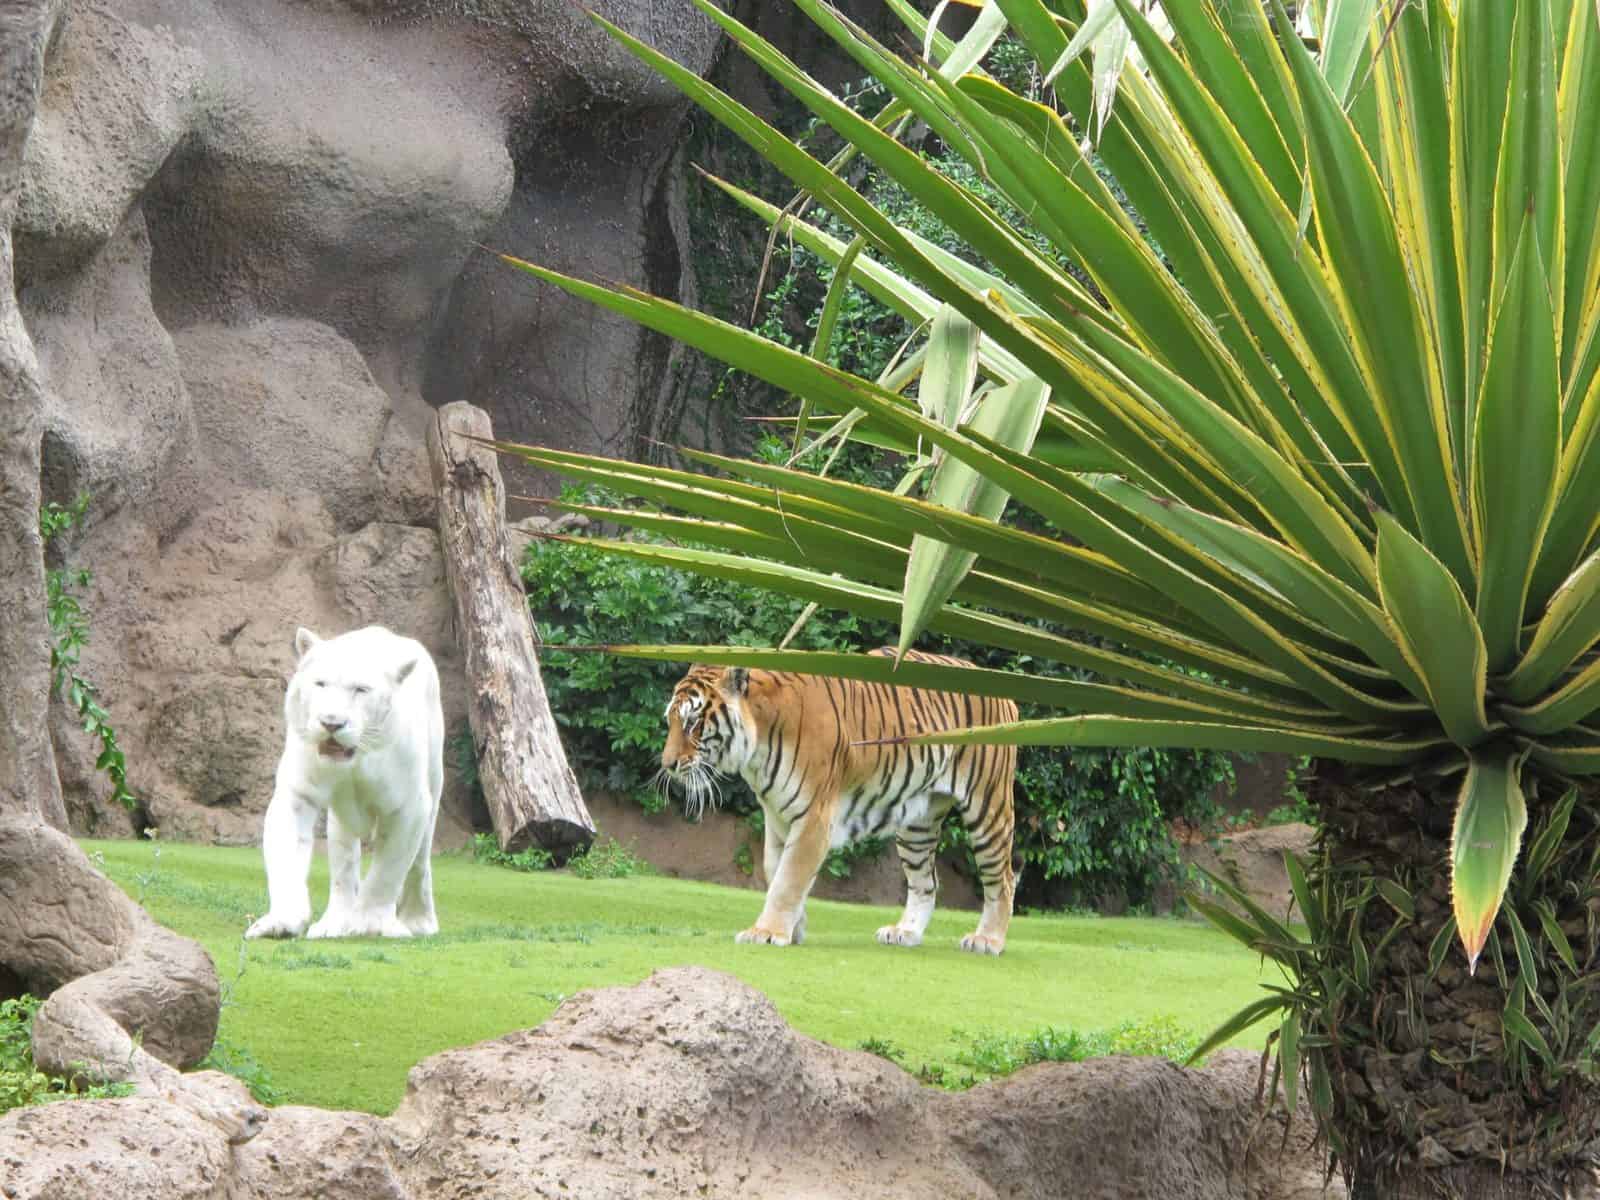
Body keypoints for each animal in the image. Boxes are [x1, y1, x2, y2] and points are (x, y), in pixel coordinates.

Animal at [659, 649, 1011, 960]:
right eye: (671, 721)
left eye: (692, 723)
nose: (667, 765)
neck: (757, 748)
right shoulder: (777, 816)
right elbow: (775, 869)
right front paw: (794, 928)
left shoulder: (813, 817)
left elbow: (789, 878)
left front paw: (767, 932)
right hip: (918, 823)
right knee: (926, 882)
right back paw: (906, 932)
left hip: (988, 806)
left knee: (1003, 879)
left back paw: (987, 940)